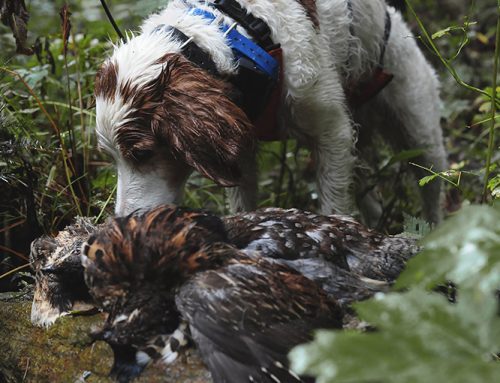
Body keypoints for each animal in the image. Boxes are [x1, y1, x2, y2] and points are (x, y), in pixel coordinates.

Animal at [95, 0, 448, 224]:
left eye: (142, 154)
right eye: (112, 158)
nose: (121, 221)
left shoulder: (332, 131)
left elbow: (333, 204)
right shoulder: (237, 147)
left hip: (418, 127)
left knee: (433, 192)